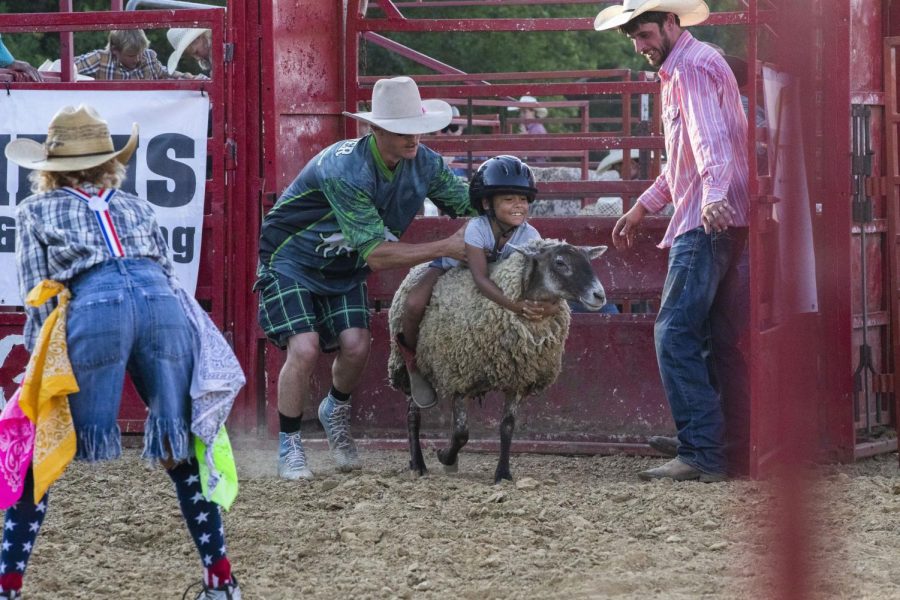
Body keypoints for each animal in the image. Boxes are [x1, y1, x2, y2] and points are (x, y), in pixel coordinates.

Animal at [386, 239, 604, 482]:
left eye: (588, 260)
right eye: (560, 262)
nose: (599, 295)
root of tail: (416, 267)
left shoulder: (518, 379)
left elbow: (506, 426)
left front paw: (503, 473)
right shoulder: (460, 374)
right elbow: (461, 433)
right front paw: (445, 456)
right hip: (406, 366)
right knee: (413, 414)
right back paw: (417, 464)